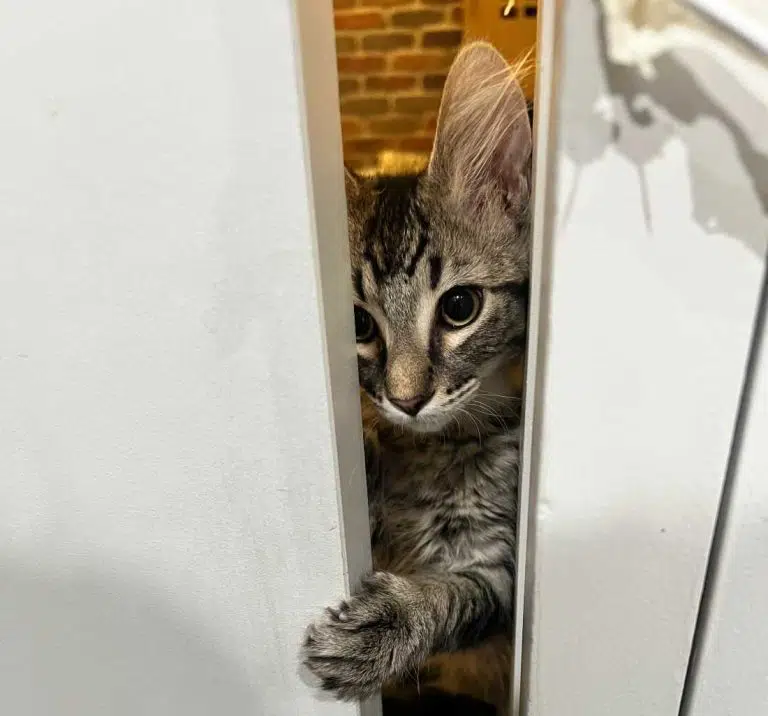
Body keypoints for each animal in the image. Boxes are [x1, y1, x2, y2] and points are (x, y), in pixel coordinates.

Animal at [302, 41, 532, 714]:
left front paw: (387, 626)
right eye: (358, 322)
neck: (437, 449)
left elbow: (454, 598)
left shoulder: (500, 567)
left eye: (459, 307)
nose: (407, 400)